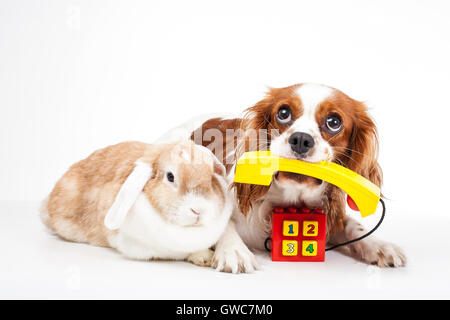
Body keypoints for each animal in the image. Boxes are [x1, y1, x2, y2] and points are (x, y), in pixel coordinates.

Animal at [161, 82, 404, 272]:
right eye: (284, 113)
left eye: (334, 122)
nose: (301, 139)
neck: (289, 198)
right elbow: (221, 223)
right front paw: (234, 251)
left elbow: (354, 226)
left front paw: (380, 245)